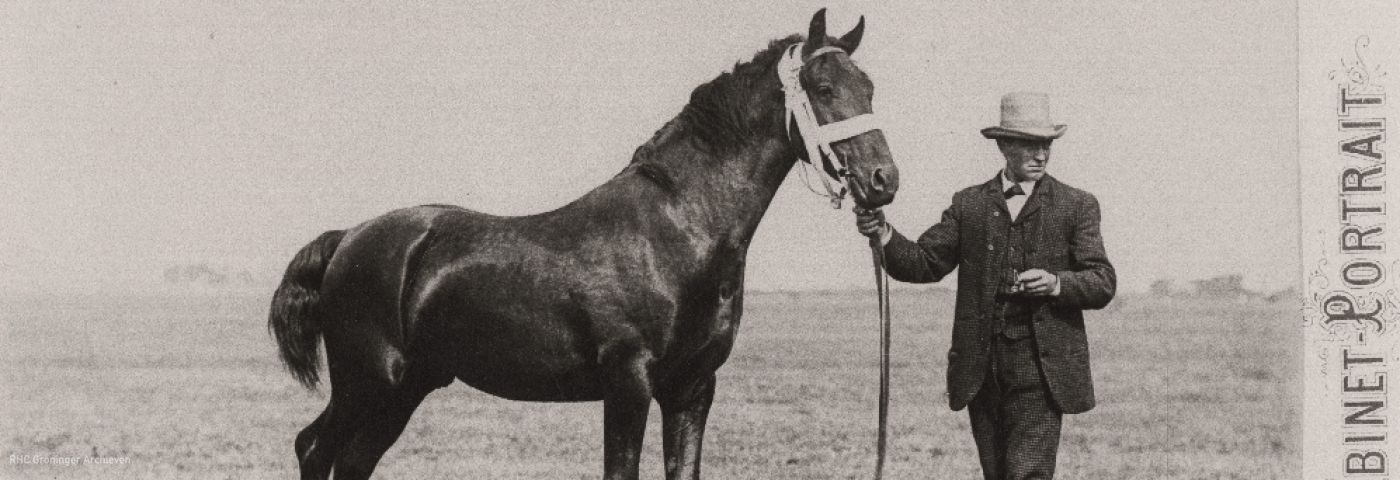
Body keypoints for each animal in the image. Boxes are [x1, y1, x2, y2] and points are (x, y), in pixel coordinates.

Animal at [268, 9, 899, 480]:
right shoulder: (628, 384)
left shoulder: (692, 389)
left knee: (349, 461)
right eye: (823, 87)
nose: (883, 181)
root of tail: (347, 239)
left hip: (405, 389)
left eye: (870, 88)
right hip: (368, 382)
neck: (676, 229)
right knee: (313, 449)